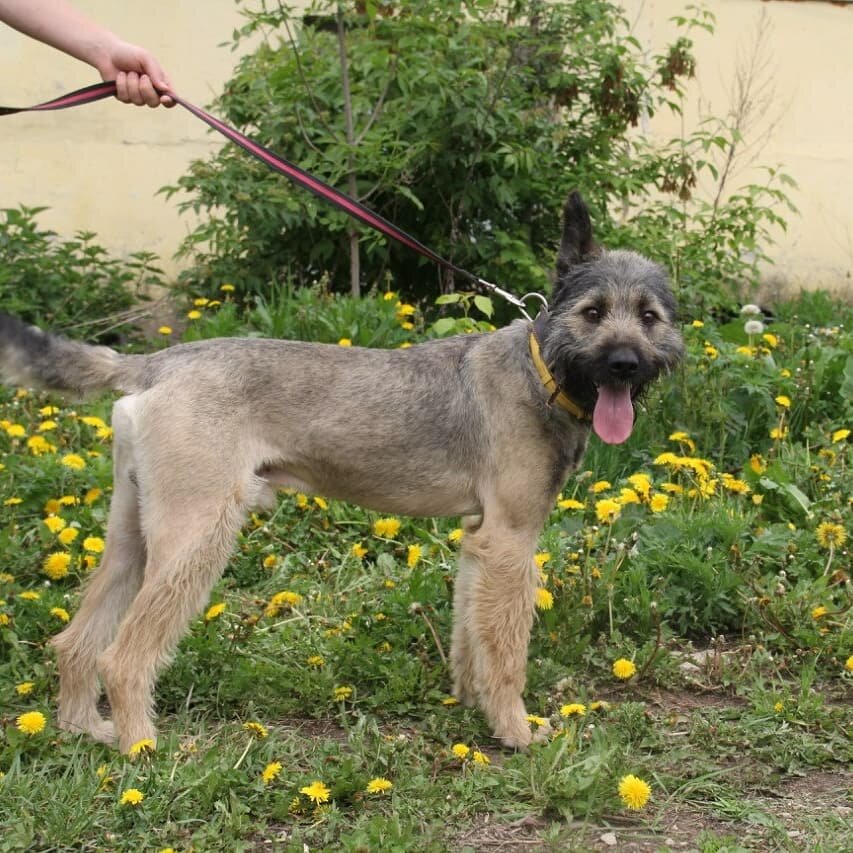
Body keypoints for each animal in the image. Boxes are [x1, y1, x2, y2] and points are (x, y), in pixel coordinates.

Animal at [0, 190, 684, 748]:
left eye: (649, 316)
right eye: (593, 311)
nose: (625, 364)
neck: (541, 370)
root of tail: (154, 363)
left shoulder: (481, 540)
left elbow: (472, 633)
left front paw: (472, 705)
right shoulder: (511, 542)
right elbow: (507, 647)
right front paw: (514, 731)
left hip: (132, 539)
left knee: (76, 641)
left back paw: (86, 729)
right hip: (195, 536)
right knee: (123, 656)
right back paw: (142, 750)